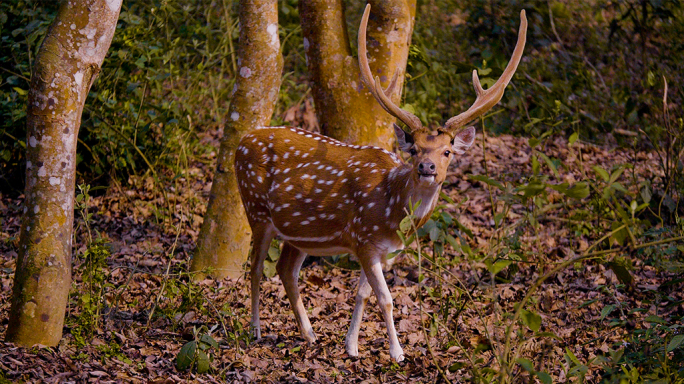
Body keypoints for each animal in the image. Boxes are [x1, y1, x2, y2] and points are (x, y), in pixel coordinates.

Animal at [232, 4, 528, 362]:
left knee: (286, 269)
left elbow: (363, 294)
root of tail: (242, 142)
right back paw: (256, 330)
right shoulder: (363, 239)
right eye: (414, 149)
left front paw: (351, 347)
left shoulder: (382, 250)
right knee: (255, 268)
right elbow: (386, 298)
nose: (427, 167)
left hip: (298, 233)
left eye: (447, 151)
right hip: (255, 208)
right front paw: (397, 353)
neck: (392, 210)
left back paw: (309, 334)